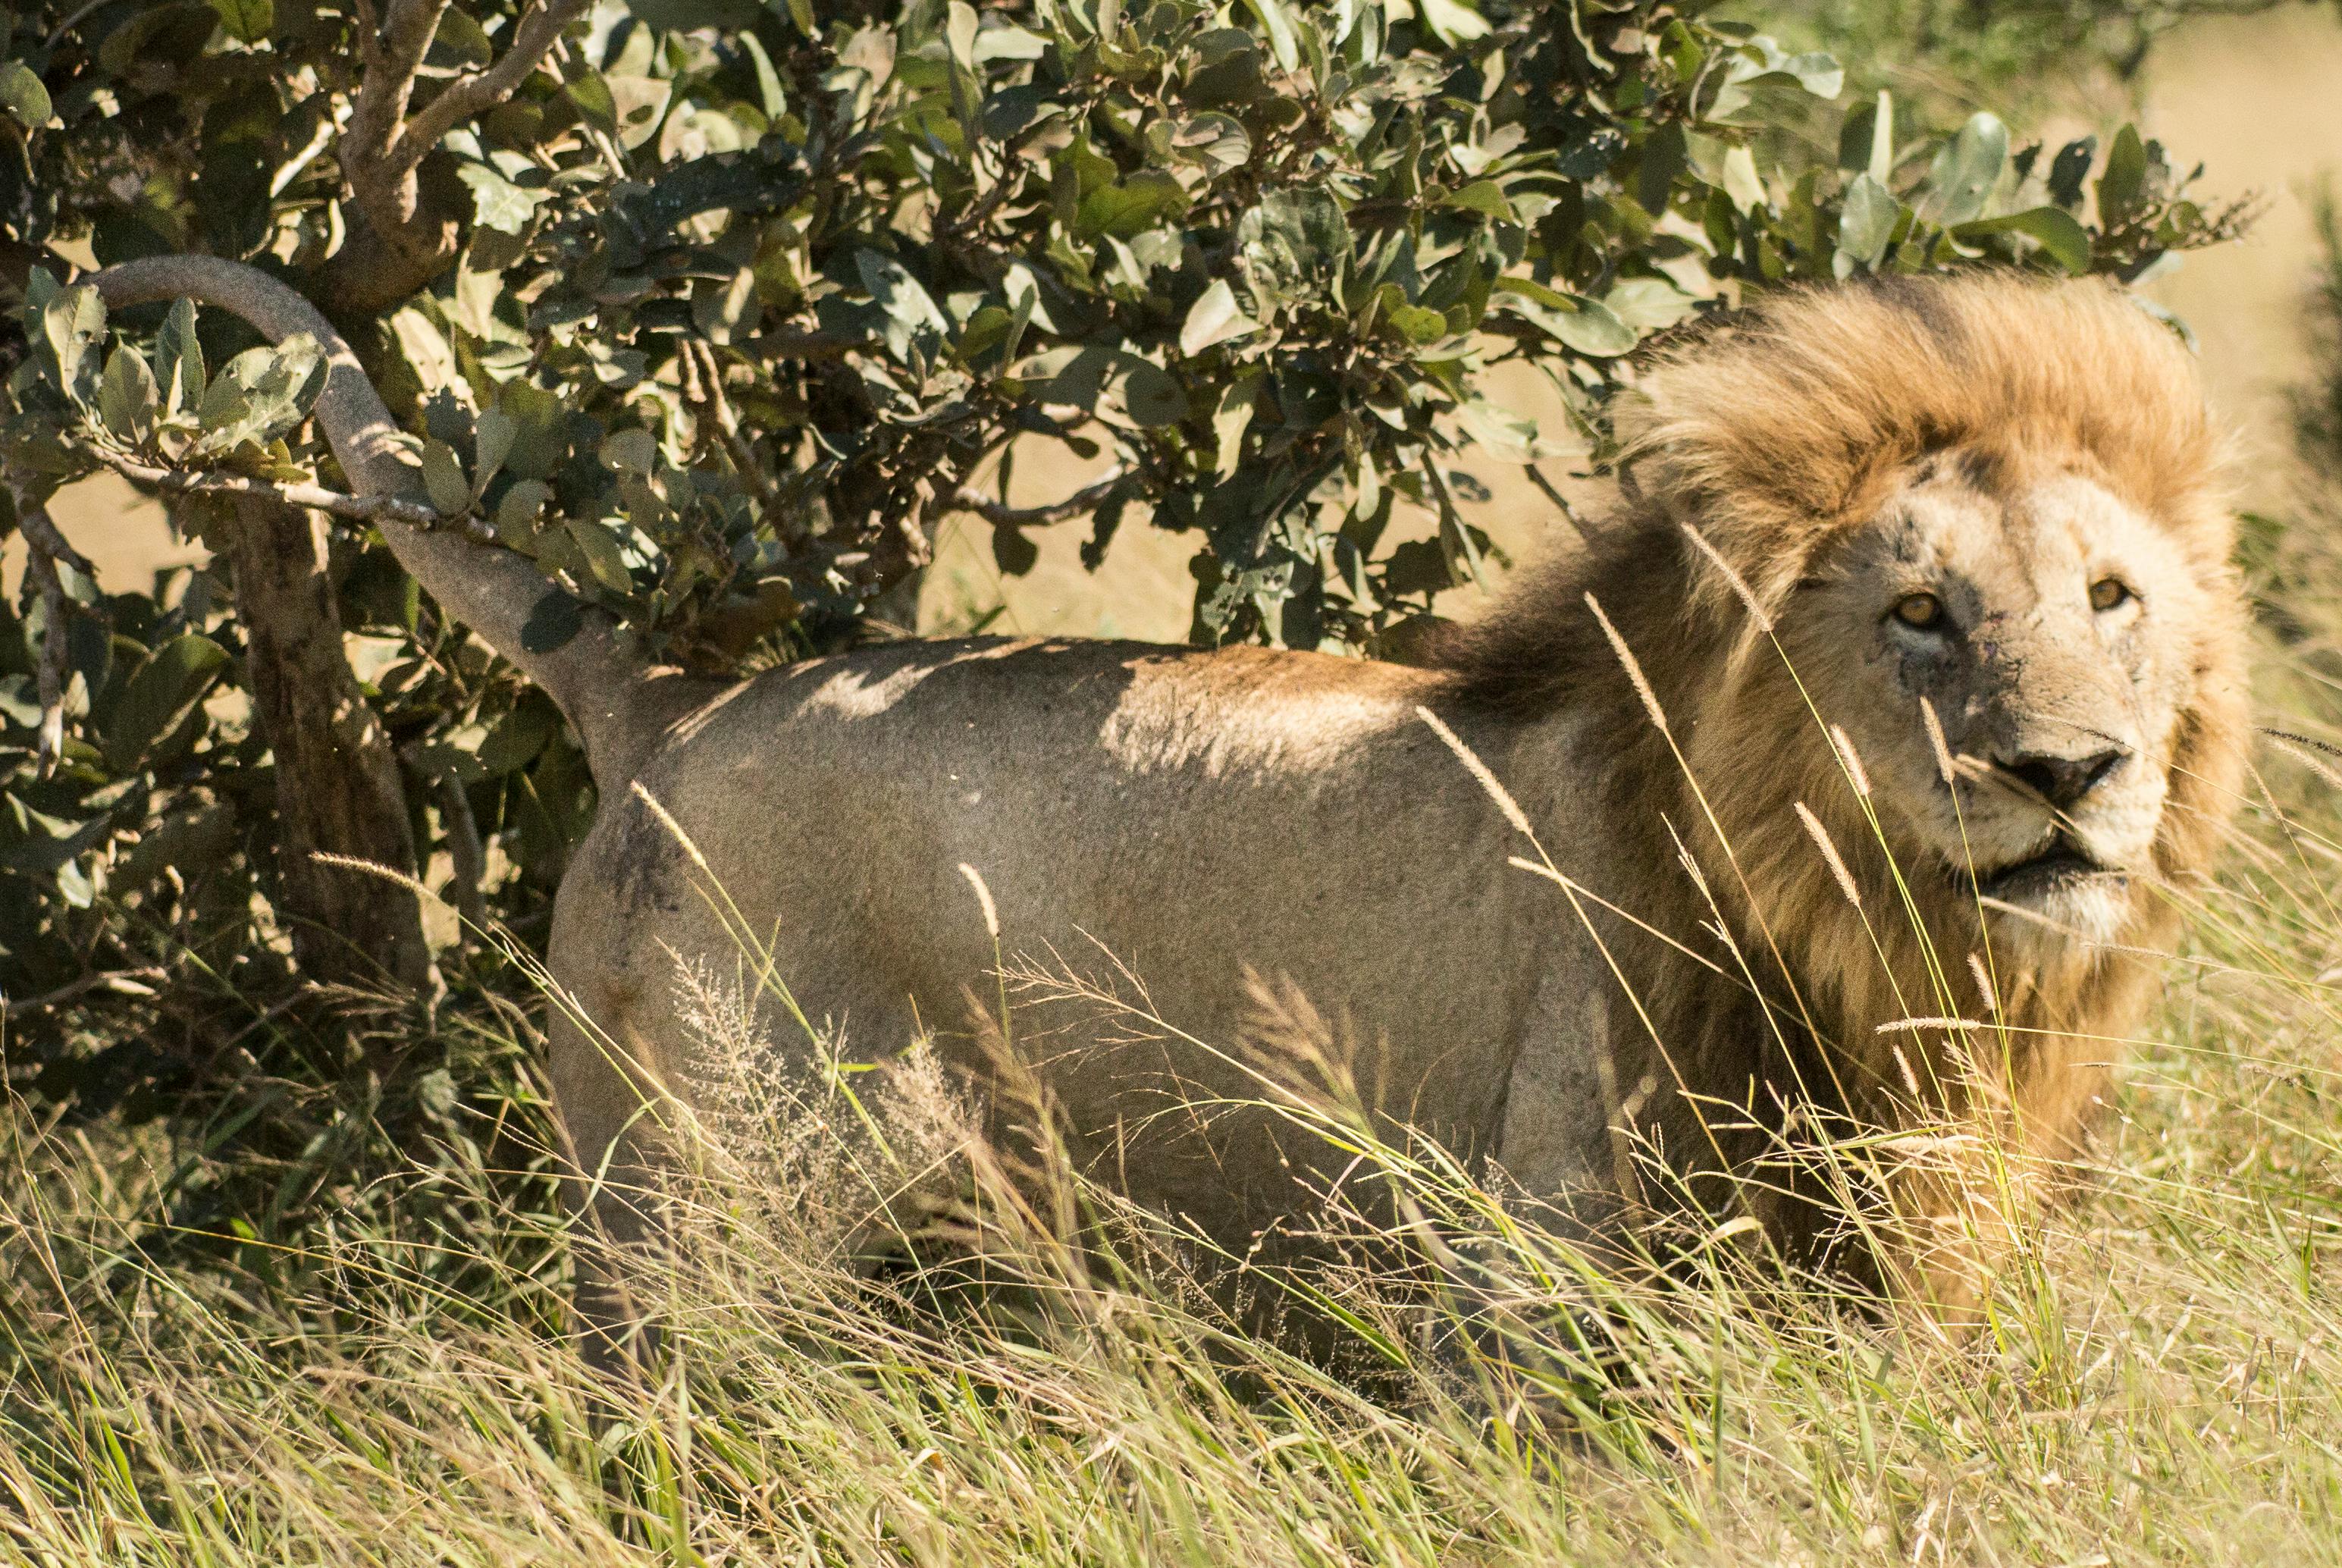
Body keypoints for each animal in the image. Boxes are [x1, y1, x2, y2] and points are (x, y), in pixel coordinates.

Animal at [96, 260, 2248, 1331]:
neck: (1880, 950)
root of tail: (671, 701)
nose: (2068, 769)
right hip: (707, 1215)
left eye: (2110, 599)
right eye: (1916, 614)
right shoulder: (1525, 1279)